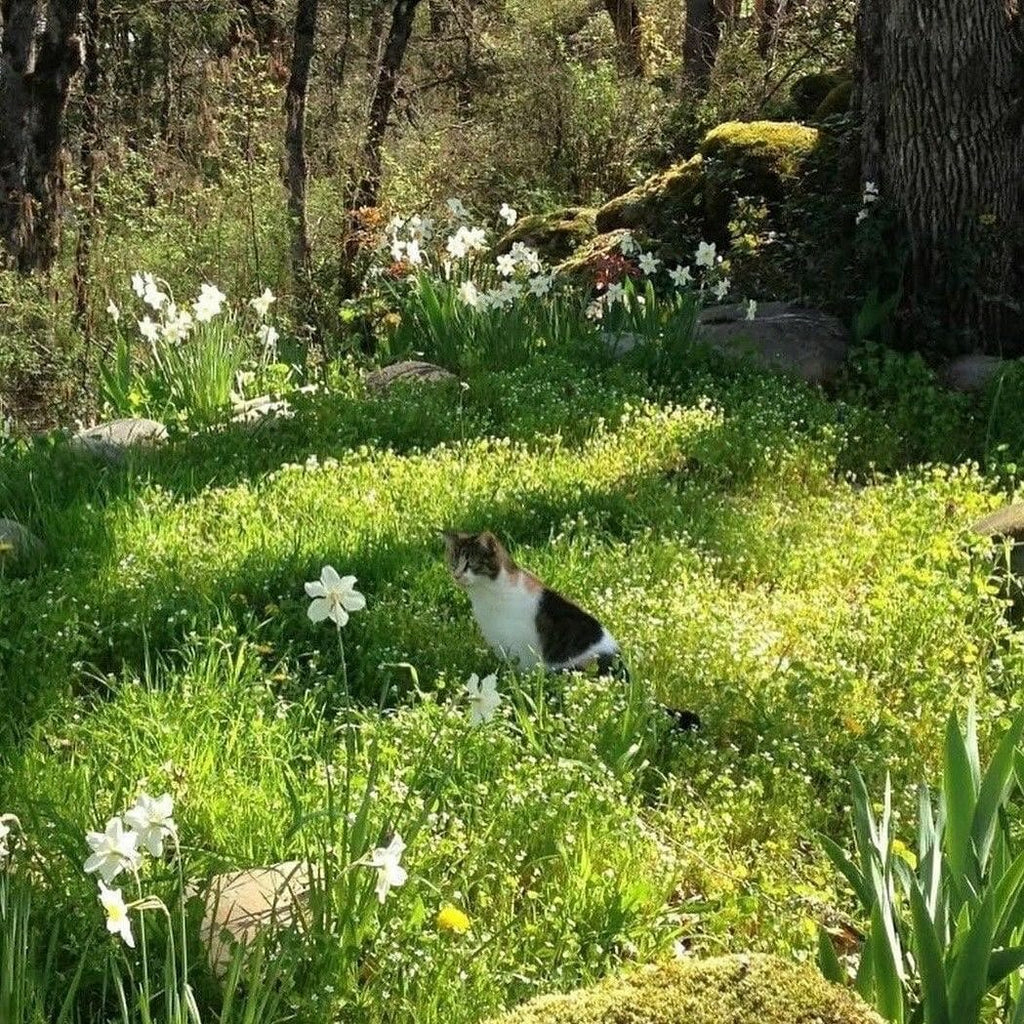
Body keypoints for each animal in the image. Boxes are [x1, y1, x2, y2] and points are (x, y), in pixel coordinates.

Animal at [444, 528, 700, 729]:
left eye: (471, 564)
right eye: (453, 562)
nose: (456, 575)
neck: (486, 594)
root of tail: (633, 684)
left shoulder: (522, 652)